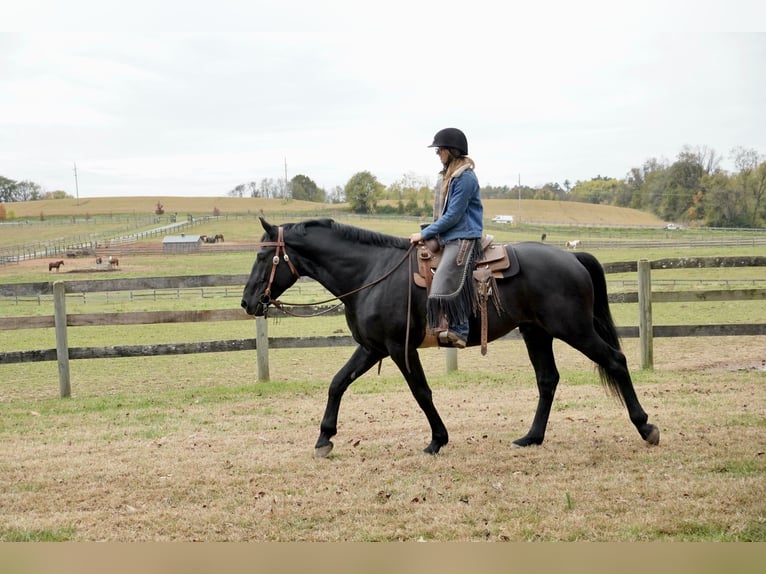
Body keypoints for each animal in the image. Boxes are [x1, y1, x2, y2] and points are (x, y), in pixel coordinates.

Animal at [241, 218, 659, 458]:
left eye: (263, 258)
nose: (247, 301)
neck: (372, 273)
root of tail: (571, 258)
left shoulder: (399, 348)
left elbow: (421, 393)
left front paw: (437, 440)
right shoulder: (372, 347)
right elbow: (337, 383)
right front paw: (324, 438)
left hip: (574, 329)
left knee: (615, 361)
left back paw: (646, 427)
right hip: (537, 333)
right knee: (548, 380)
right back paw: (531, 437)